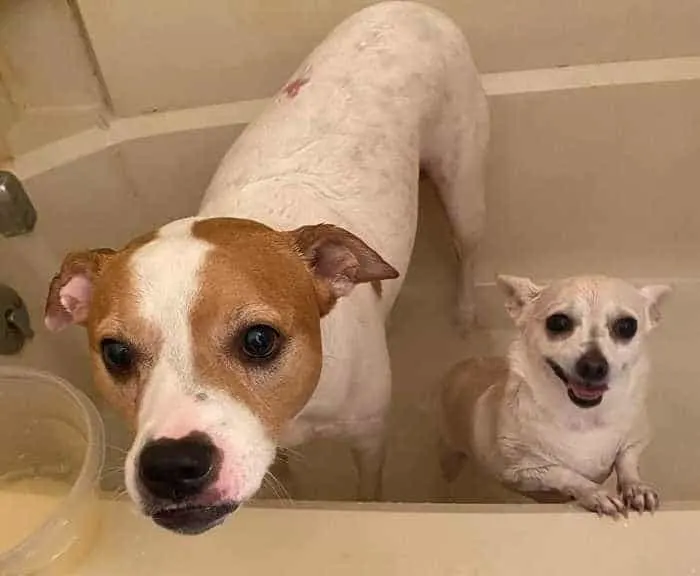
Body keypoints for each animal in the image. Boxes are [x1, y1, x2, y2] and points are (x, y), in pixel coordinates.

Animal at [42, 2, 486, 536]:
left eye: (259, 340)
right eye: (115, 353)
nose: (171, 466)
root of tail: (407, 7)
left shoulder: (369, 437)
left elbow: (369, 487)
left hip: (463, 184)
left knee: (468, 248)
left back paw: (466, 312)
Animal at [440, 276, 668, 516]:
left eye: (626, 326)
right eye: (558, 323)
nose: (594, 366)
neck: (584, 420)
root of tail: (466, 361)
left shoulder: (635, 441)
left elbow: (627, 461)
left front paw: (636, 488)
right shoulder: (523, 472)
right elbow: (564, 473)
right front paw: (595, 493)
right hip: (450, 453)